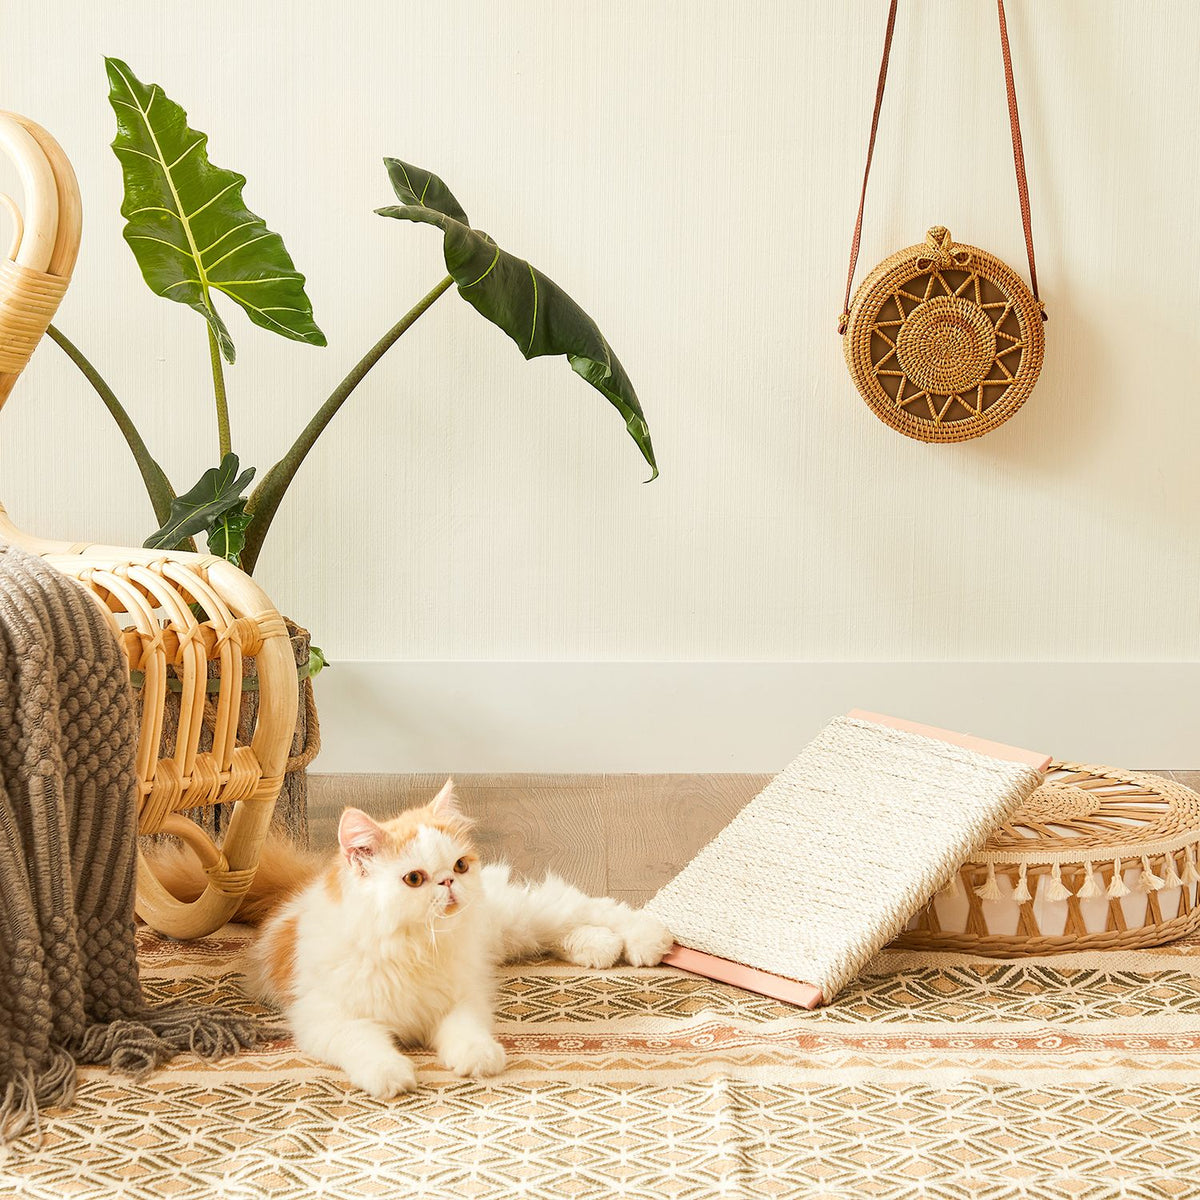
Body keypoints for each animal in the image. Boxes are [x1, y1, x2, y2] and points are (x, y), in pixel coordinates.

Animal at [153, 779, 673, 1098]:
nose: (448, 883)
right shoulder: (329, 1018)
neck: (415, 946)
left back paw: (649, 940)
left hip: (516, 916)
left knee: (587, 907)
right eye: (415, 879)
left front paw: (478, 1060)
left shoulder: (460, 999)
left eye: (459, 865)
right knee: (567, 929)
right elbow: (366, 1045)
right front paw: (393, 1075)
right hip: (512, 933)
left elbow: (466, 1033)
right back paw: (600, 948)